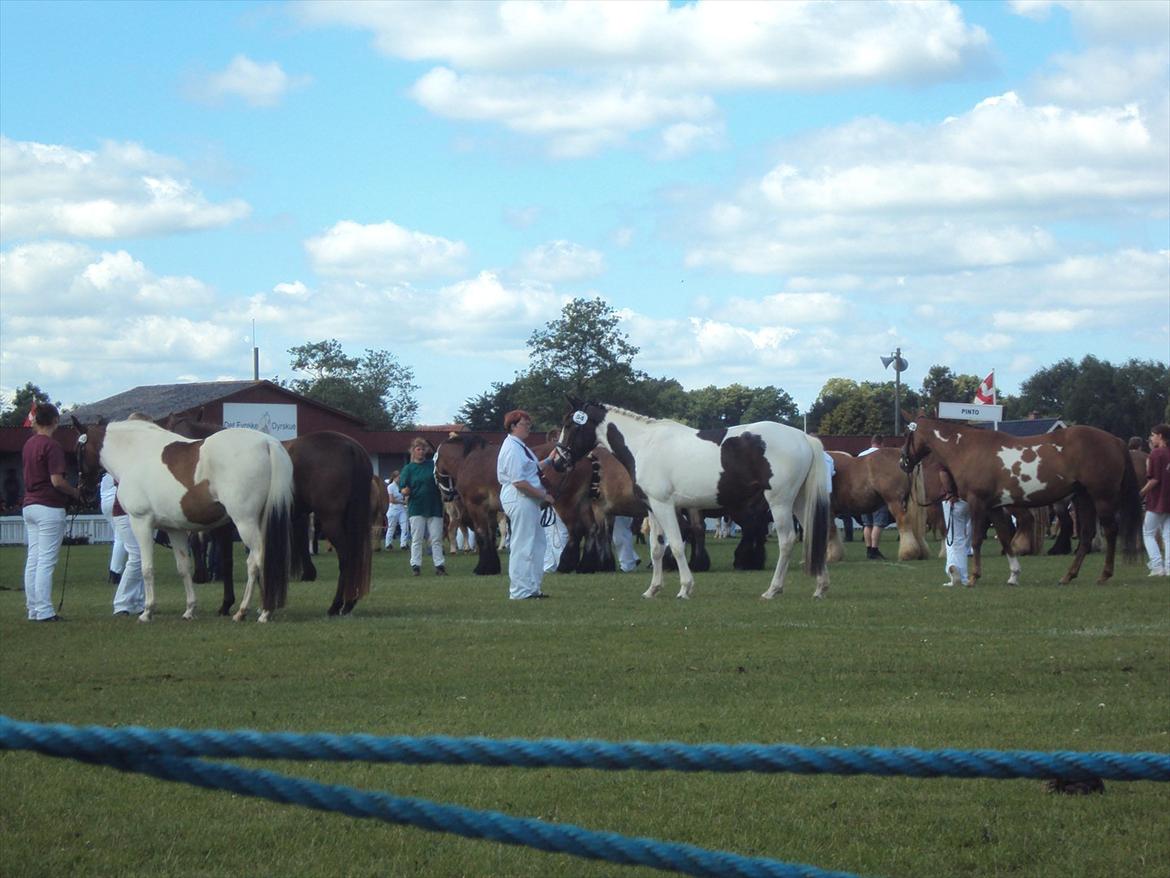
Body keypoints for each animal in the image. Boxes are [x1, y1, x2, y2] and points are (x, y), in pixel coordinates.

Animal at [73, 416, 294, 618]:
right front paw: (189, 609)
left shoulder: (141, 522)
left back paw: (249, 611)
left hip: (244, 522)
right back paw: (262, 608)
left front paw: (147, 611)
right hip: (261, 519)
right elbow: (184, 567)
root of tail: (267, 442)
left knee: (256, 560)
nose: (84, 492)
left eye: (78, 450)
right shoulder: (174, 529)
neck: (136, 453)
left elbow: (147, 568)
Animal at [164, 419, 372, 618]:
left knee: (346, 558)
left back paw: (337, 605)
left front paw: (227, 604)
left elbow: (226, 561)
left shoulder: (226, 527)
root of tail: (352, 447)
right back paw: (347, 604)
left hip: (330, 520)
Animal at [549, 402, 833, 604]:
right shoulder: (652, 508)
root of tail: (804, 438)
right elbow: (656, 548)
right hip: (800, 501)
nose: (557, 461)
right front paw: (653, 589)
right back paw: (820, 587)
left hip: (780, 502)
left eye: (570, 425)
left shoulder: (664, 506)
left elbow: (675, 545)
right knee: (813, 534)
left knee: (787, 541)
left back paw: (773, 590)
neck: (644, 444)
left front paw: (685, 588)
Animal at [898, 416, 1137, 587]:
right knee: (1086, 536)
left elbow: (976, 540)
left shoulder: (978, 503)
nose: (902, 462)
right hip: (1084, 498)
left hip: (1102, 498)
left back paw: (1104, 575)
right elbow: (1005, 538)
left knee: (1110, 532)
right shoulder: (994, 507)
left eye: (907, 435)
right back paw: (1068, 576)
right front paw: (1014, 575)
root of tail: (1116, 441)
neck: (967, 449)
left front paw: (974, 577)